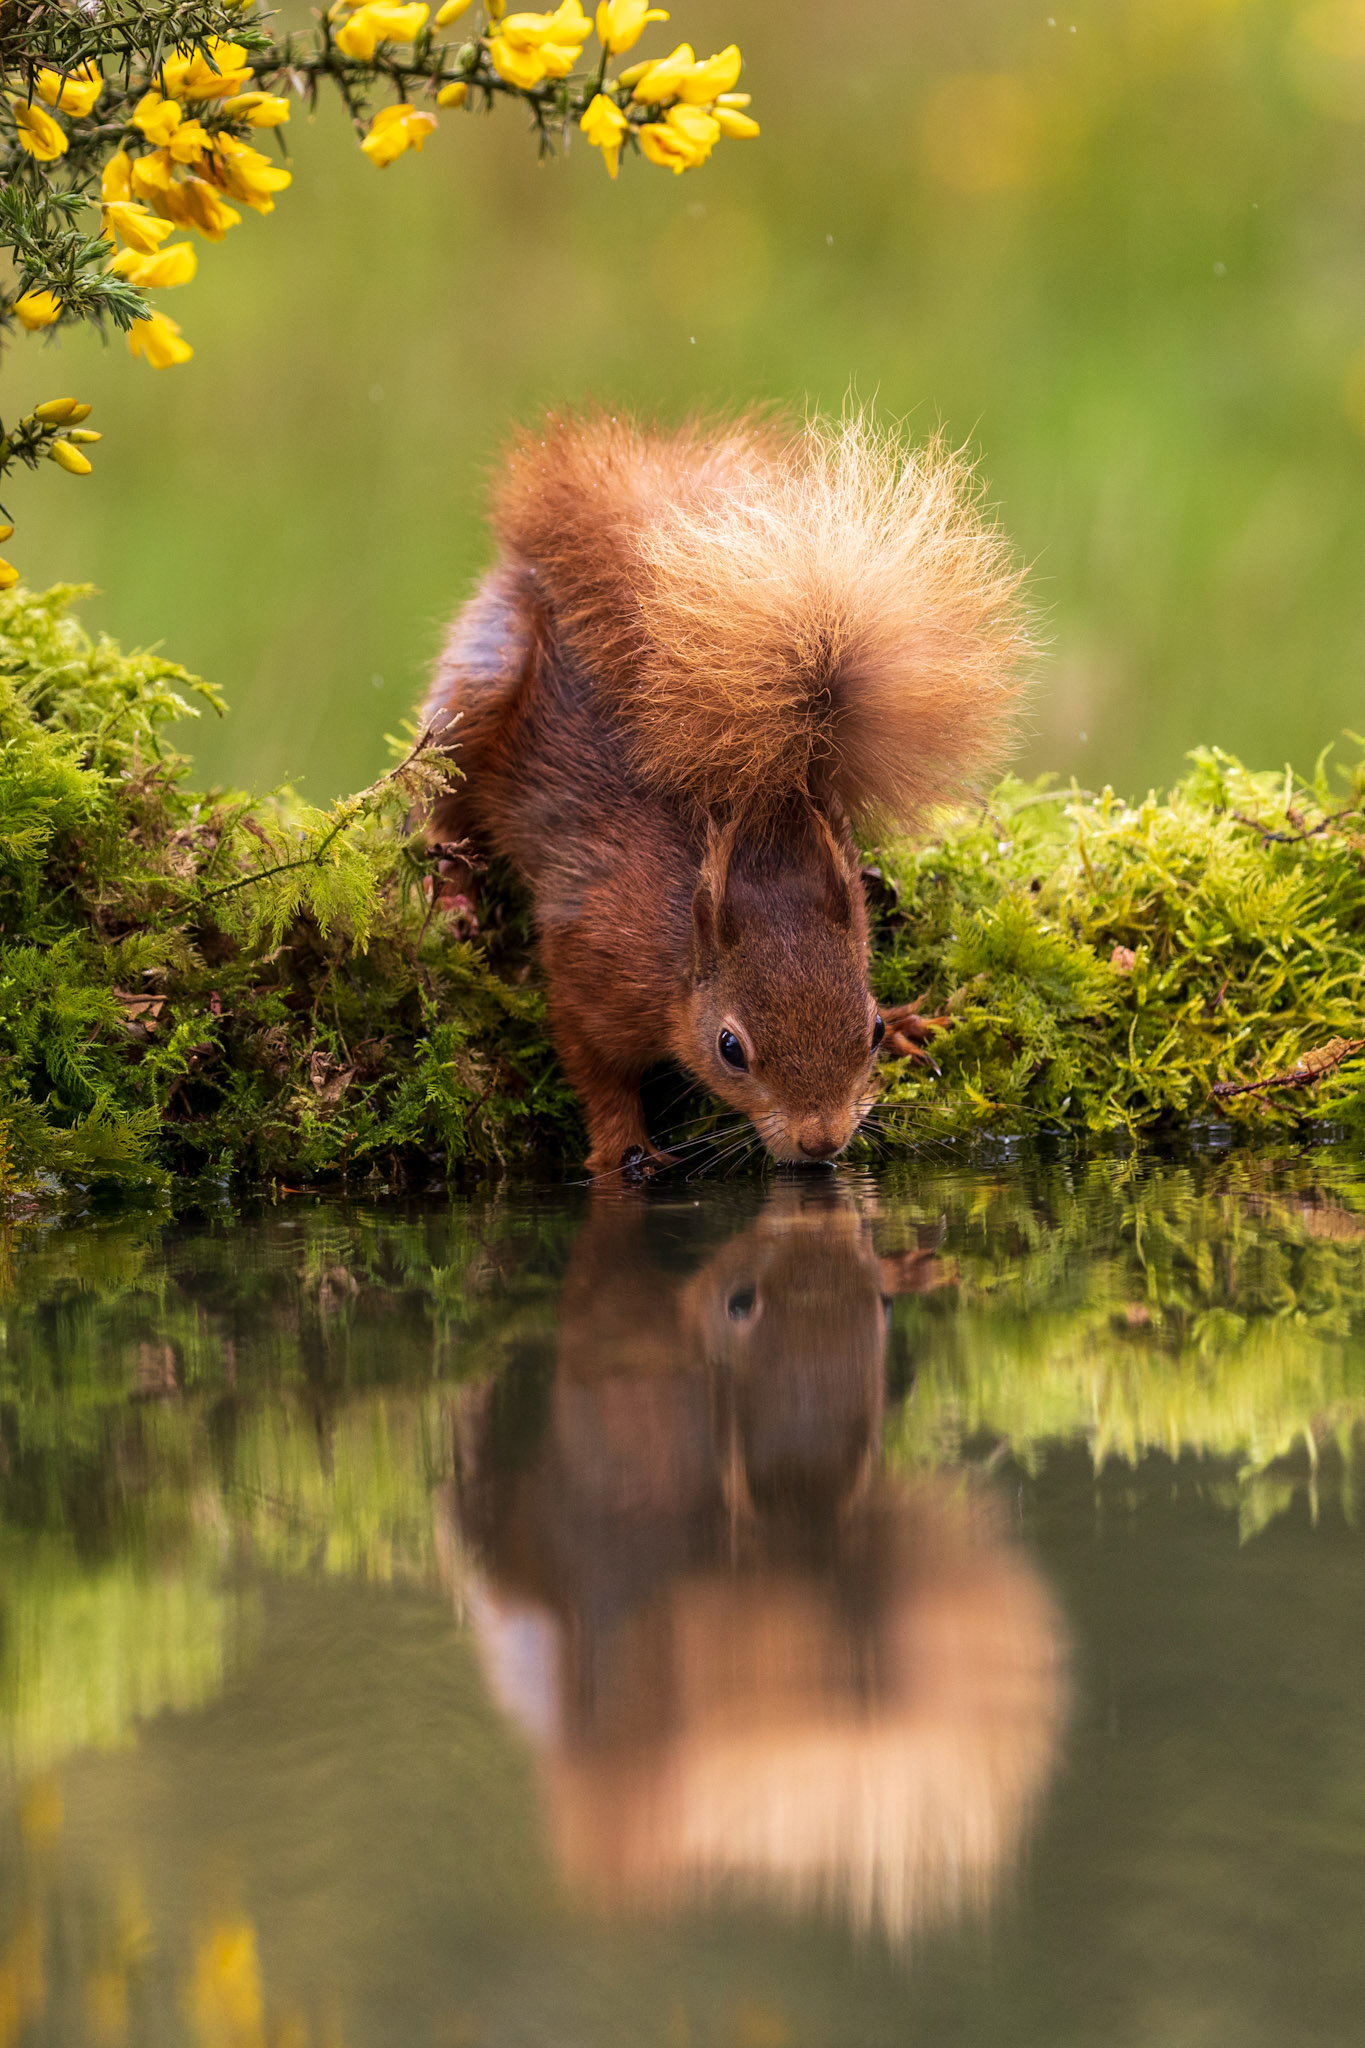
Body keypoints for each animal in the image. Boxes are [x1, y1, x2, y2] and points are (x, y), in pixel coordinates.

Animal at [421, 409, 1028, 1177]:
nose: (821, 1141)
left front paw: (911, 1026)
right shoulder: (594, 964)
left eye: (868, 1026)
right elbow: (594, 1067)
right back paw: (453, 892)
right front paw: (624, 1148)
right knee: (444, 810)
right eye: (730, 1049)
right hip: (477, 690)